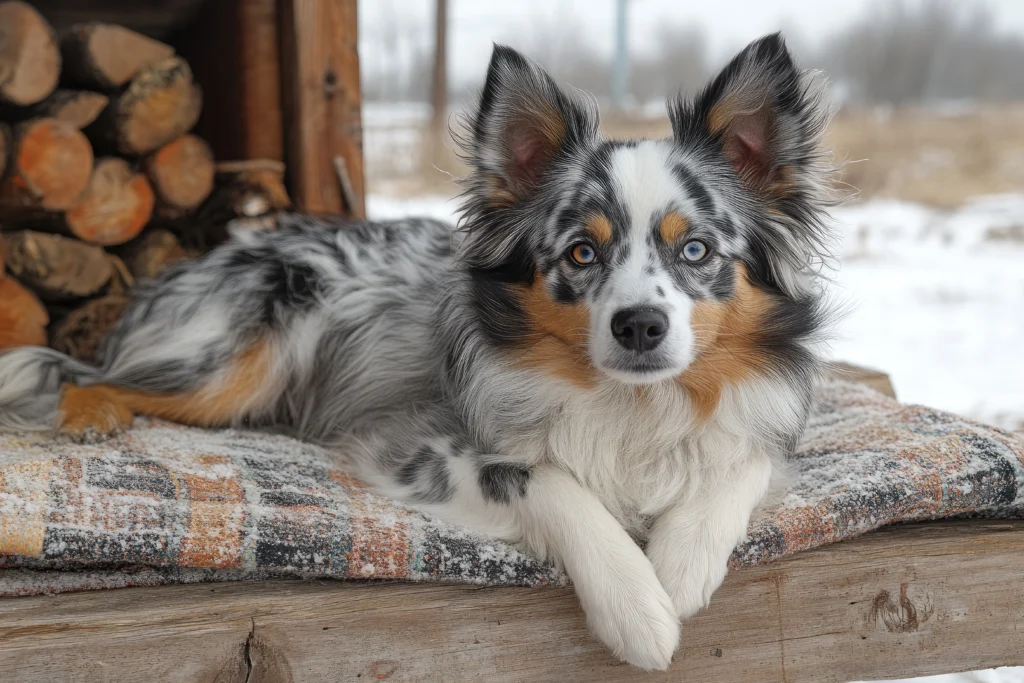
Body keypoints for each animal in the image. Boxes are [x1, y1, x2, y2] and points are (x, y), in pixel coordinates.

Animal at [0, 34, 831, 671]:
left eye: (696, 249)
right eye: (581, 252)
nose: (639, 327)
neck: (633, 401)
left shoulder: (759, 429)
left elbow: (736, 461)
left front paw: (680, 566)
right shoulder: (418, 439)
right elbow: (550, 482)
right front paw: (638, 605)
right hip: (238, 355)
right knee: (89, 374)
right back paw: (93, 414)